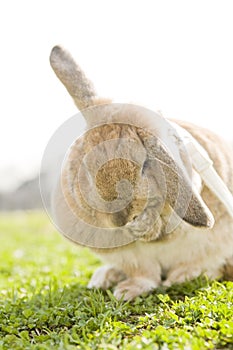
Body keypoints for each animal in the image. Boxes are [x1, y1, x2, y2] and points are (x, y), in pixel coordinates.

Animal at [49, 45, 233, 300]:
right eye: (86, 165)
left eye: (145, 165)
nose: (119, 219)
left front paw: (143, 227)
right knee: (145, 275)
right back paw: (114, 284)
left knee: (209, 267)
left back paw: (180, 276)